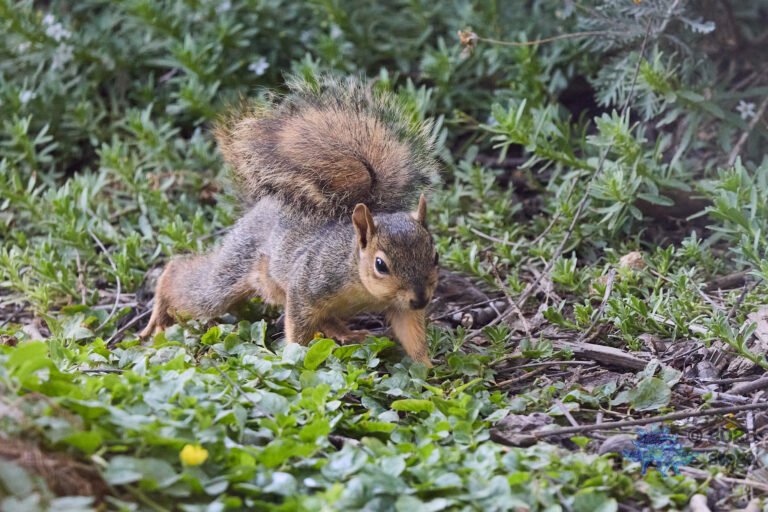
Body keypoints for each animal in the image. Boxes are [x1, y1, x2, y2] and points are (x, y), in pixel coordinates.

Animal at [139, 74, 441, 367]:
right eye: (380, 265)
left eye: (435, 255)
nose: (420, 299)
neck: (360, 279)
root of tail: (262, 205)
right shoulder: (307, 284)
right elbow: (298, 325)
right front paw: (296, 357)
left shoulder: (402, 308)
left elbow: (412, 334)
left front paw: (426, 369)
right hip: (234, 267)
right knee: (190, 281)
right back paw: (160, 311)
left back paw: (346, 333)